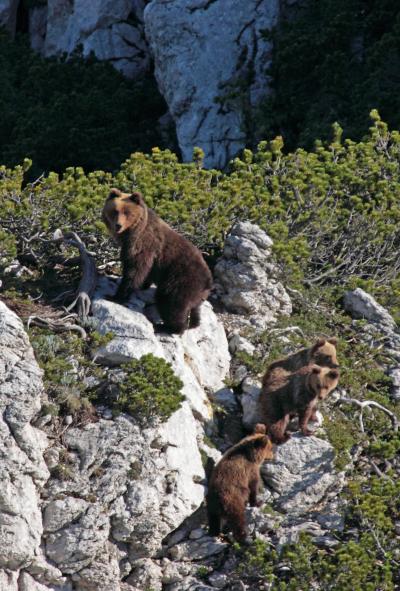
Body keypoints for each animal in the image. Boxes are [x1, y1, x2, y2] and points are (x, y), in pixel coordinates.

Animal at [102, 192, 212, 336]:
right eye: (115, 211)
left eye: (127, 212)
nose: (118, 225)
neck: (131, 232)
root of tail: (208, 283)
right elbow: (144, 274)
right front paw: (142, 285)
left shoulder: (143, 245)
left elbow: (135, 270)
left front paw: (115, 296)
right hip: (197, 295)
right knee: (195, 310)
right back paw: (194, 323)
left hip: (182, 281)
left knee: (170, 301)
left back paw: (166, 327)